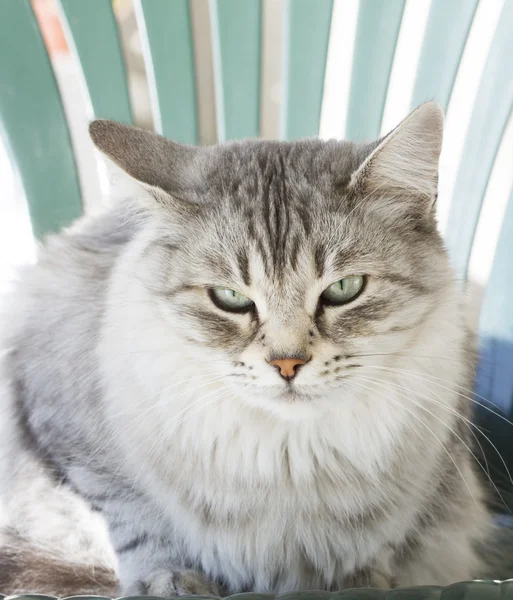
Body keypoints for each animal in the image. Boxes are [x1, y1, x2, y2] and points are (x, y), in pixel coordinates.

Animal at [0, 103, 498, 596]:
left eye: (345, 289)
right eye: (230, 298)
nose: (288, 363)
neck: (288, 462)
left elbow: (378, 556)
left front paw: (363, 581)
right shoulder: (74, 448)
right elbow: (138, 525)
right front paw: (171, 582)